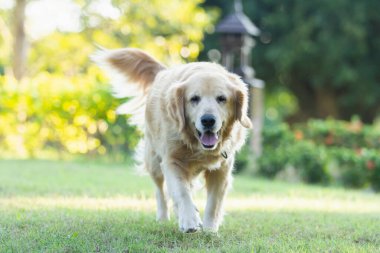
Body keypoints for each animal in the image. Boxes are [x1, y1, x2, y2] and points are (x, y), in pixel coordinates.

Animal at [93, 48, 251, 232]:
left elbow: (214, 203)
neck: (196, 145)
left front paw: (210, 229)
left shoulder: (221, 169)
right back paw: (164, 217)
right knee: (160, 191)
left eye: (222, 98)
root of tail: (164, 71)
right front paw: (189, 220)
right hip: (154, 161)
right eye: (194, 98)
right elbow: (181, 192)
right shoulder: (171, 161)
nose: (208, 120)